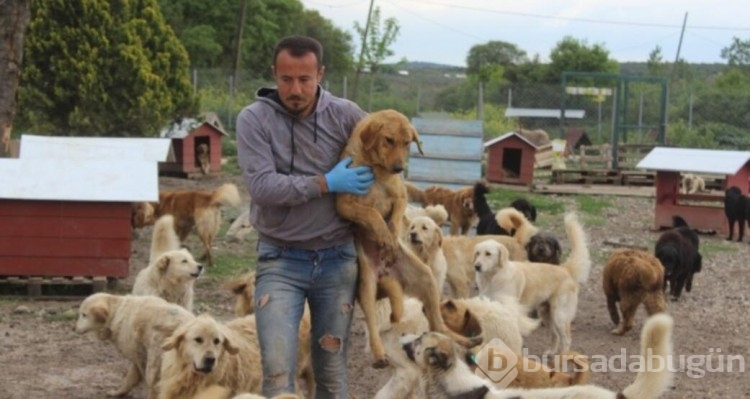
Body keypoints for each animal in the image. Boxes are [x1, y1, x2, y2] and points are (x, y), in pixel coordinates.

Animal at [334, 108, 470, 368]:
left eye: (407, 143)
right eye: (389, 140)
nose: (399, 168)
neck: (376, 169)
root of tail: (386, 274)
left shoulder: (401, 197)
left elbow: (395, 218)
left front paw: (391, 236)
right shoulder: (344, 204)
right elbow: (373, 214)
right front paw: (384, 236)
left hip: (426, 279)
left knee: (437, 322)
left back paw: (459, 340)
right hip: (366, 287)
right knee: (373, 327)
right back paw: (379, 354)